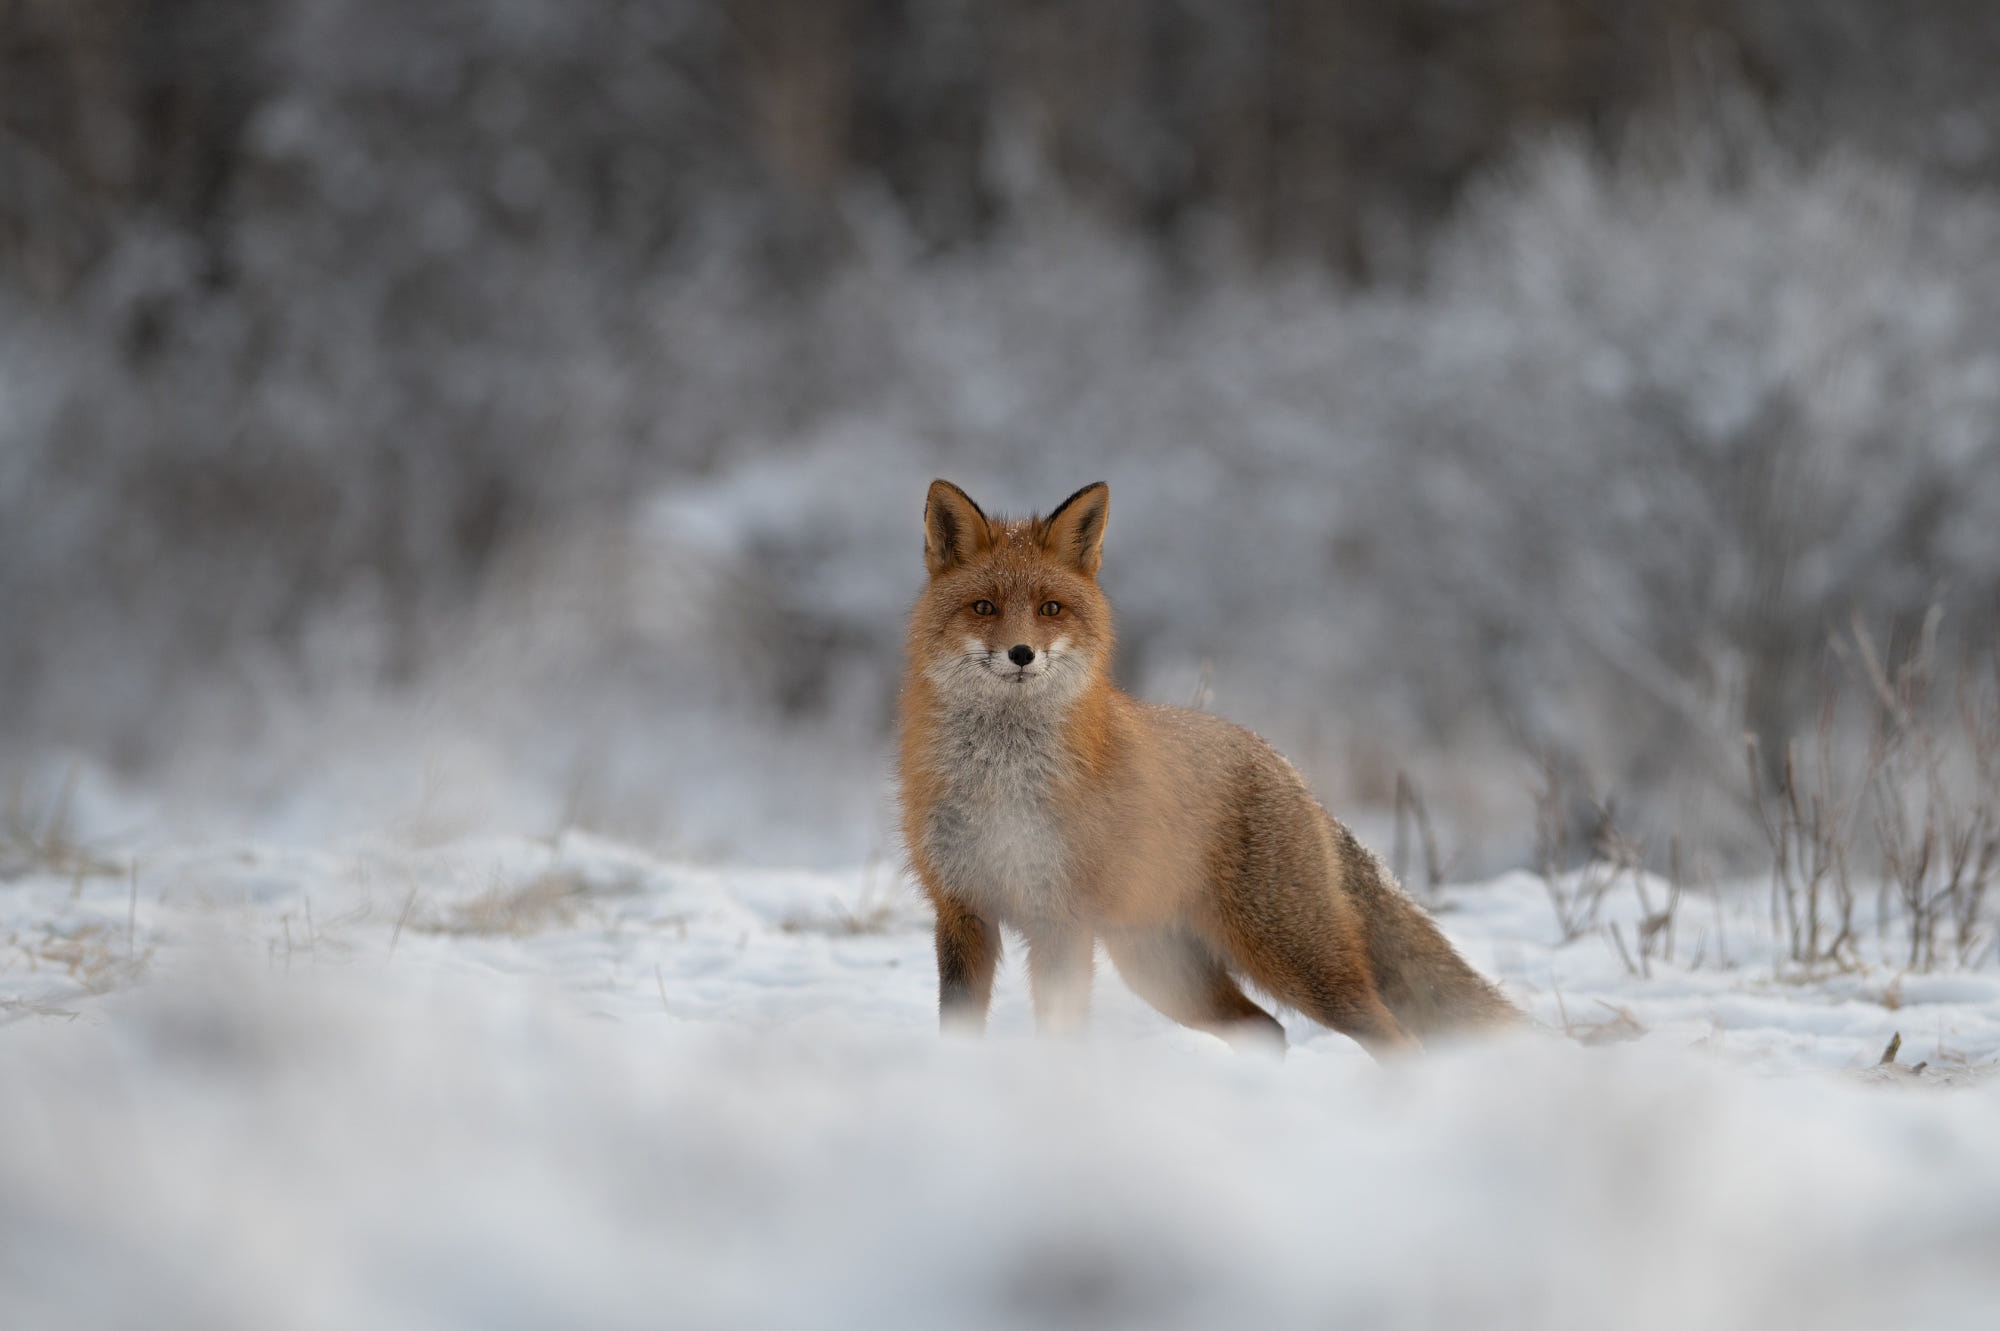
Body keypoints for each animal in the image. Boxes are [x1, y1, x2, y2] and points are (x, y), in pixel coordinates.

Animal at [900, 481, 1520, 1055]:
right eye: (983, 607)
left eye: (1050, 608)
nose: (1022, 653)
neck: (1000, 780)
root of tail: (1287, 767)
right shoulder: (961, 911)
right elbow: (957, 1029)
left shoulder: (1060, 919)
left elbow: (1059, 1029)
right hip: (1164, 971)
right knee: (1266, 1030)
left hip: (1292, 959)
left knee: (1394, 1037)